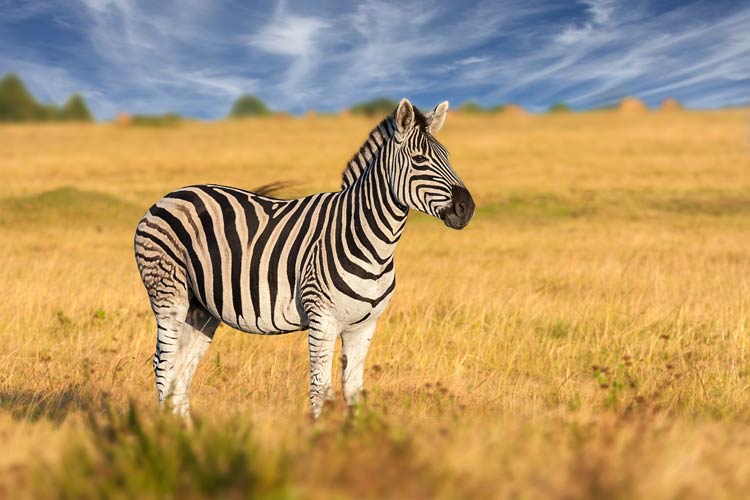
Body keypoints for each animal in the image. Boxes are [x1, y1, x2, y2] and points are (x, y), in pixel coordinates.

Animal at [134, 98, 475, 418]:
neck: (371, 241)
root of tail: (170, 195)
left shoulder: (364, 325)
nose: (466, 208)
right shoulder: (322, 319)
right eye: (419, 160)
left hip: (201, 308)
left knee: (181, 370)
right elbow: (320, 391)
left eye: (448, 157)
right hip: (169, 293)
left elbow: (353, 391)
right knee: (163, 365)